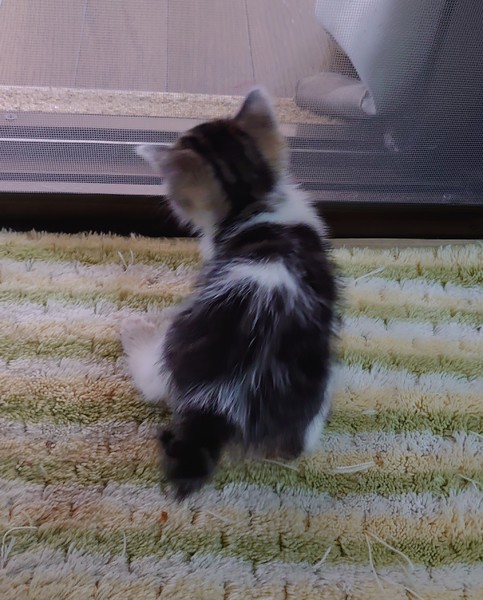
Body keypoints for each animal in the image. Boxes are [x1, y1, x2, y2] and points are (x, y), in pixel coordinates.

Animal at [121, 88, 338, 499]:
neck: (253, 203)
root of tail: (222, 400)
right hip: (315, 376)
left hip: (176, 345)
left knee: (152, 381)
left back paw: (134, 334)